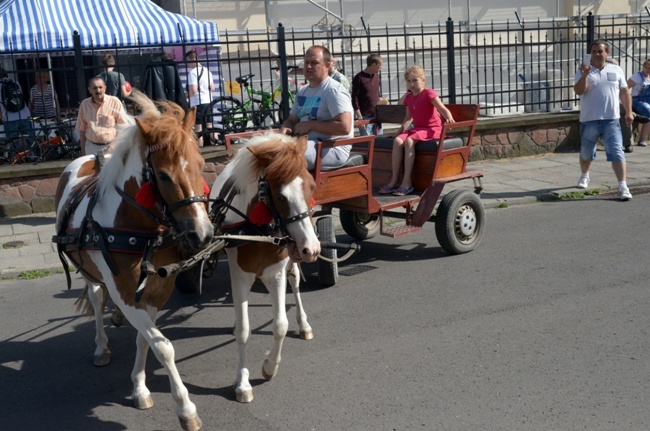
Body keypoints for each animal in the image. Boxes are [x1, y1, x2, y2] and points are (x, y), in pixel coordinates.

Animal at [54, 92, 213, 431]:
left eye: (201, 165)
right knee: (96, 298)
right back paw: (101, 345)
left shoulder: (157, 290)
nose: (203, 234)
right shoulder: (126, 293)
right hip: (90, 274)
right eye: (163, 175)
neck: (139, 229)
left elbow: (145, 339)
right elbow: (162, 345)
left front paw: (139, 387)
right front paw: (185, 408)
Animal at [208, 133, 318, 404]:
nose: (312, 249)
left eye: (312, 187)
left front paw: (269, 367)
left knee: (295, 281)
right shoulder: (240, 275)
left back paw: (304, 325)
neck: (257, 229)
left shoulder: (275, 274)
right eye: (281, 197)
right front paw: (243, 383)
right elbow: (244, 330)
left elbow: (280, 325)